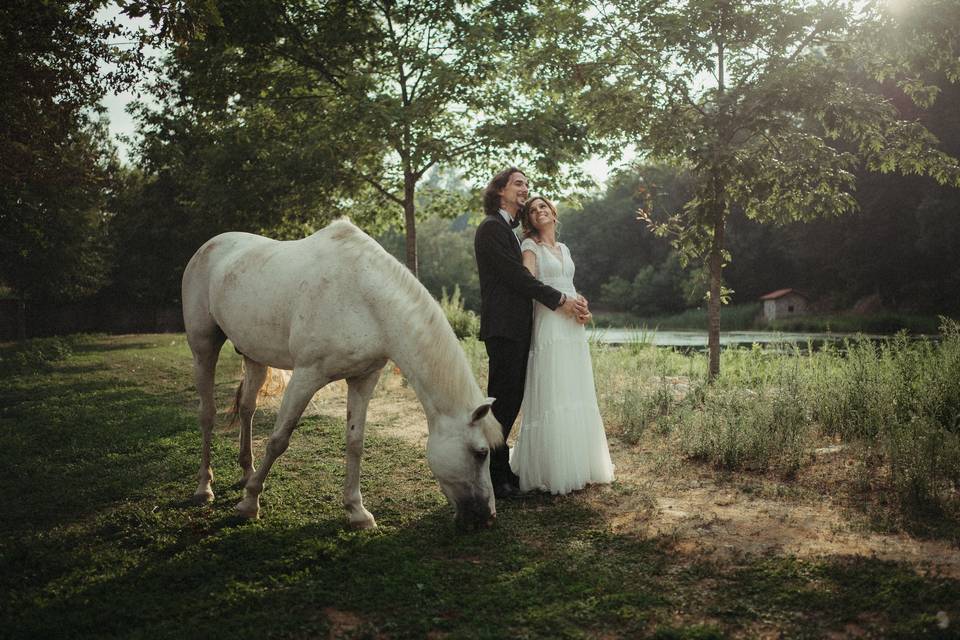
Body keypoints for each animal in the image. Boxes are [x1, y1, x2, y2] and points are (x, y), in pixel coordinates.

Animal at [179, 220, 502, 528]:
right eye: (481, 453)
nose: (487, 517)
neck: (365, 297)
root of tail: (208, 246)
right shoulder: (306, 376)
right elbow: (278, 439)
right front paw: (249, 504)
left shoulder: (364, 378)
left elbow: (355, 442)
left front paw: (357, 512)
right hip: (203, 348)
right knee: (207, 413)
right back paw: (204, 488)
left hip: (254, 357)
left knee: (248, 408)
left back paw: (247, 471)